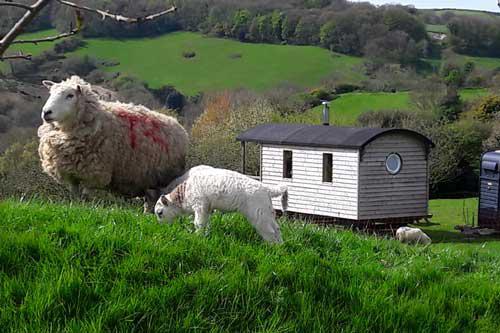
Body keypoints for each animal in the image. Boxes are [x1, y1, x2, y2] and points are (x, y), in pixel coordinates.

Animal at [37, 76, 189, 209]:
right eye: (50, 93)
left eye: (70, 95)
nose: (46, 112)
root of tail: (178, 125)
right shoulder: (71, 174)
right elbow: (75, 195)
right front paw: (75, 207)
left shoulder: (93, 173)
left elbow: (85, 195)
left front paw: (84, 207)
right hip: (148, 179)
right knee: (150, 200)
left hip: (162, 179)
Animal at [156, 165, 290, 241]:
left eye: (160, 213)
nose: (161, 226)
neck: (184, 193)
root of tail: (266, 188)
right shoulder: (207, 209)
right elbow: (205, 223)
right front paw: (205, 235)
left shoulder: (200, 206)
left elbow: (198, 223)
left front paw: (197, 237)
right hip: (266, 212)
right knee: (277, 229)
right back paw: (280, 247)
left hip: (258, 215)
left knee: (269, 231)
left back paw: (271, 247)